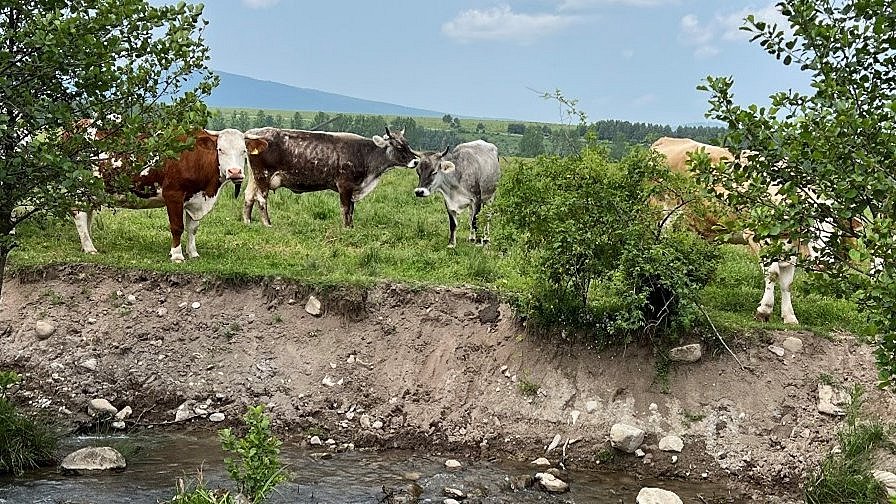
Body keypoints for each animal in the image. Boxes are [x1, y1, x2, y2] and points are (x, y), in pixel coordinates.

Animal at [73, 128, 268, 262]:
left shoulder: (195, 200)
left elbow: (192, 228)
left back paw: (86, 245)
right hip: (81, 190)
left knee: (87, 215)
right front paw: (177, 255)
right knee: (79, 215)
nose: (235, 172)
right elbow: (177, 227)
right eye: (220, 149)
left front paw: (193, 253)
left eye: (244, 151)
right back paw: (90, 248)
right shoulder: (173, 195)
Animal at [241, 126, 419, 228]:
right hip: (263, 176)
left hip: (254, 178)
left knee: (249, 196)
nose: (416, 160)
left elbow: (352, 210)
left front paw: (351, 227)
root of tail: (254, 133)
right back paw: (267, 223)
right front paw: (346, 228)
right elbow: (345, 208)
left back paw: (247, 221)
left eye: (407, 143)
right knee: (261, 199)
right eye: (398, 146)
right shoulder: (345, 186)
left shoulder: (353, 188)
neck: (365, 154)